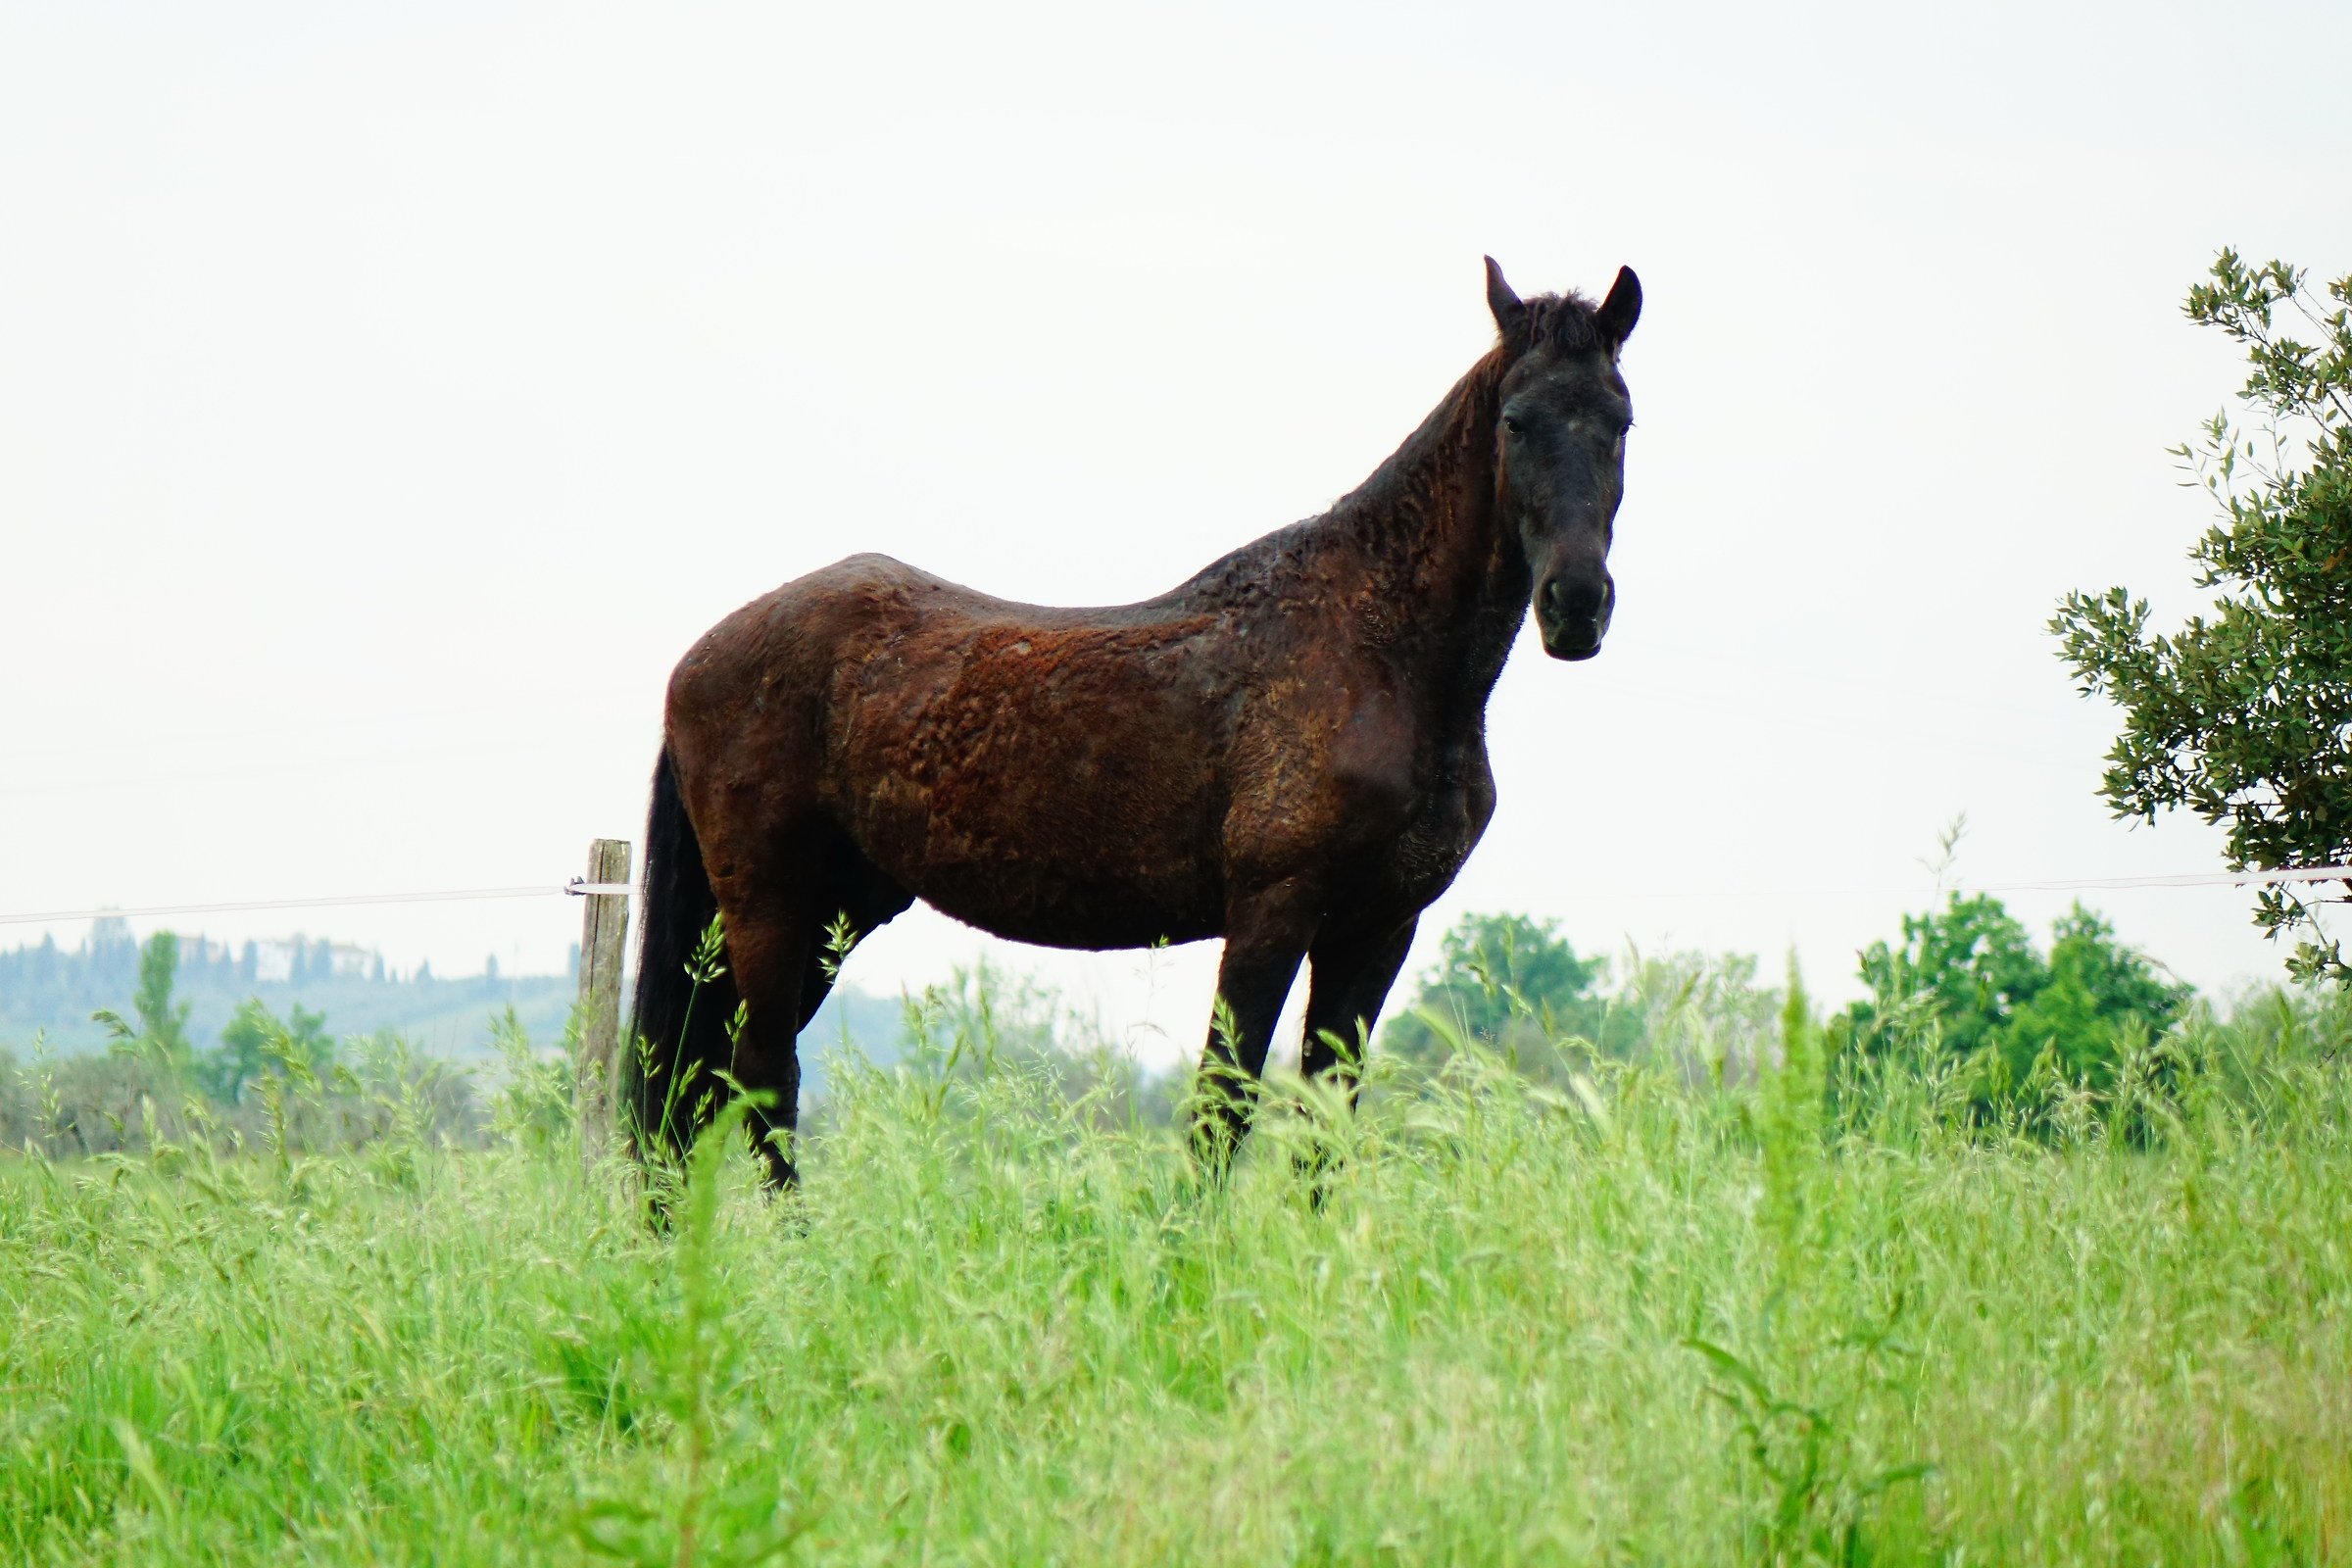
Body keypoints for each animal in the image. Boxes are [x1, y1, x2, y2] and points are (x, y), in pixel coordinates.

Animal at [627, 256, 1640, 1184]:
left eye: (1621, 423)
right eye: (1515, 421)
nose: (1576, 605)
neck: (1379, 647)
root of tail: (699, 659)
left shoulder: (1379, 928)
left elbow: (1322, 1128)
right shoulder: (1272, 913)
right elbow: (1223, 1108)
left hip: (834, 909)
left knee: (697, 1089)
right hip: (772, 905)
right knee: (760, 1081)